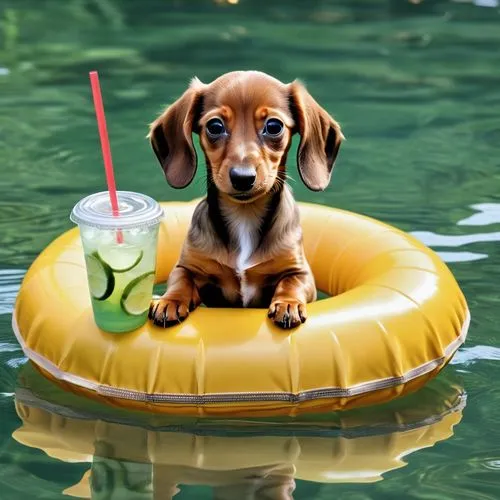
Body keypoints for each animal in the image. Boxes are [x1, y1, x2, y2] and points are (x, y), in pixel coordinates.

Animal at [148, 70, 342, 328]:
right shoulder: (188, 266)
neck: (245, 215)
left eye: (274, 126)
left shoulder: (299, 271)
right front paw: (169, 300)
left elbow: (291, 282)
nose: (243, 178)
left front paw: (288, 304)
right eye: (215, 126)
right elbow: (181, 279)